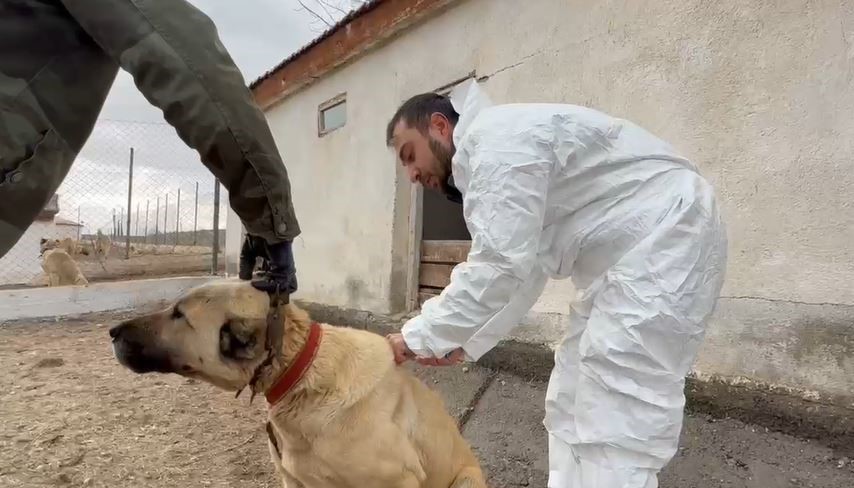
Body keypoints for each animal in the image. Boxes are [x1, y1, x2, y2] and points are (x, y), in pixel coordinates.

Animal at [108, 278, 488, 488]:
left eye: (179, 314)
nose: (112, 332)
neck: (301, 374)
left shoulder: (399, 479)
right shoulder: (294, 480)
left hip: (466, 480)